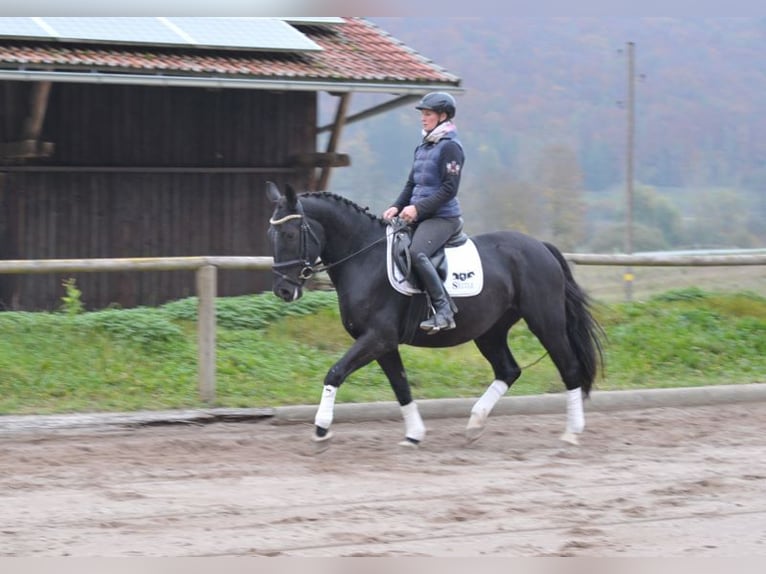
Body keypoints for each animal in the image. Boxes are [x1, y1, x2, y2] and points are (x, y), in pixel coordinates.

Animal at [268, 182, 604, 452]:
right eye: (271, 234)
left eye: (289, 233)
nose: (283, 290)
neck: (363, 258)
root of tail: (540, 247)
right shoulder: (384, 344)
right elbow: (401, 386)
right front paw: (413, 435)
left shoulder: (378, 337)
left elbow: (335, 372)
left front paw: (321, 430)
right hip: (490, 331)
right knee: (509, 370)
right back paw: (474, 425)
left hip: (546, 322)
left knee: (569, 368)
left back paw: (571, 434)